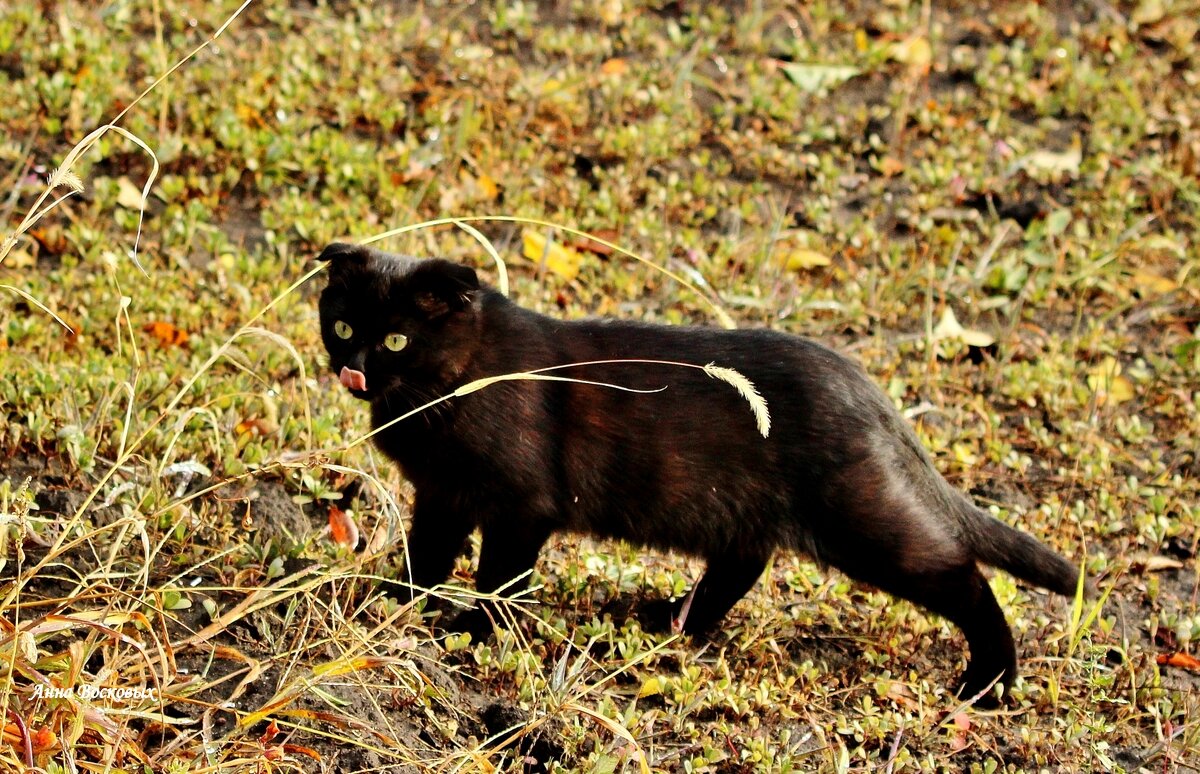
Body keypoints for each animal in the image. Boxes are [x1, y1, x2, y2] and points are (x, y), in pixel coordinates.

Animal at [314, 241, 1084, 700]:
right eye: (343, 326)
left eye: (396, 339)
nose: (355, 369)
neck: (438, 397)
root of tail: (871, 395)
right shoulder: (441, 496)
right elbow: (427, 558)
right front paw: (397, 608)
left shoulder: (520, 506)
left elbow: (501, 580)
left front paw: (473, 635)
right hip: (742, 508)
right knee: (742, 564)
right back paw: (671, 622)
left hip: (861, 519)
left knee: (962, 576)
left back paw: (990, 682)